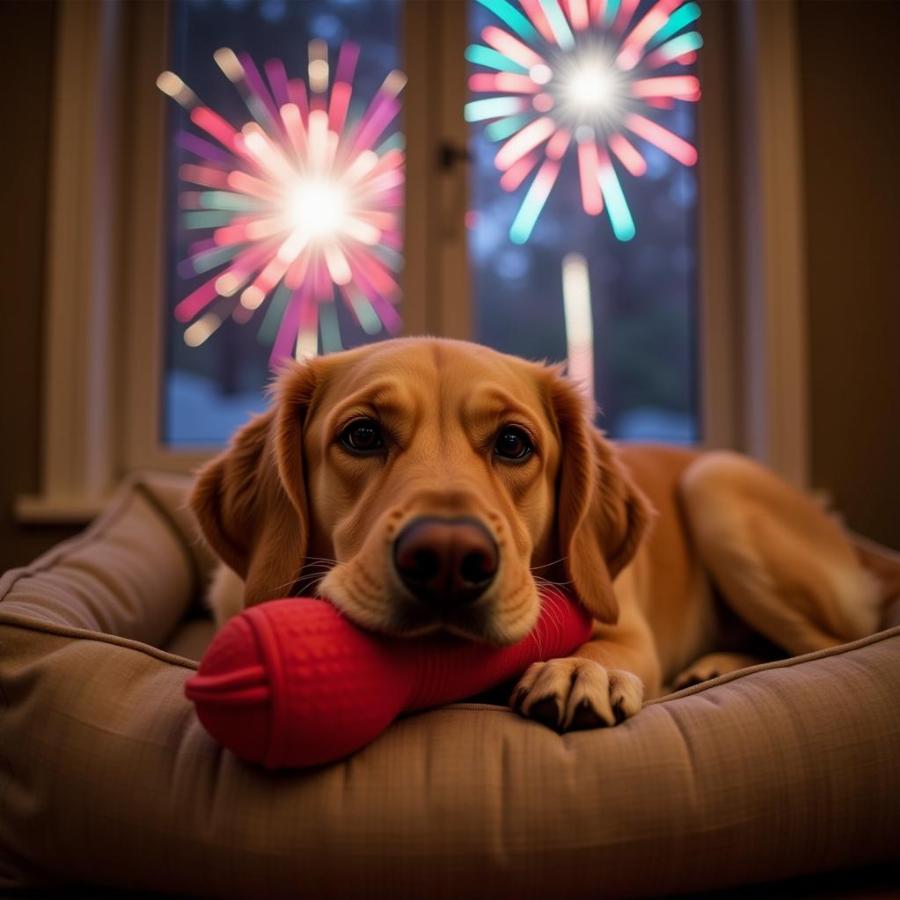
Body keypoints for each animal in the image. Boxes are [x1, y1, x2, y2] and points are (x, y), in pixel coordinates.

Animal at [192, 338, 892, 732]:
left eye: (513, 443)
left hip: (714, 486)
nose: (449, 559)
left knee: (833, 646)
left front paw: (582, 670)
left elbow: (605, 646)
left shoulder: (626, 625)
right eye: (362, 434)